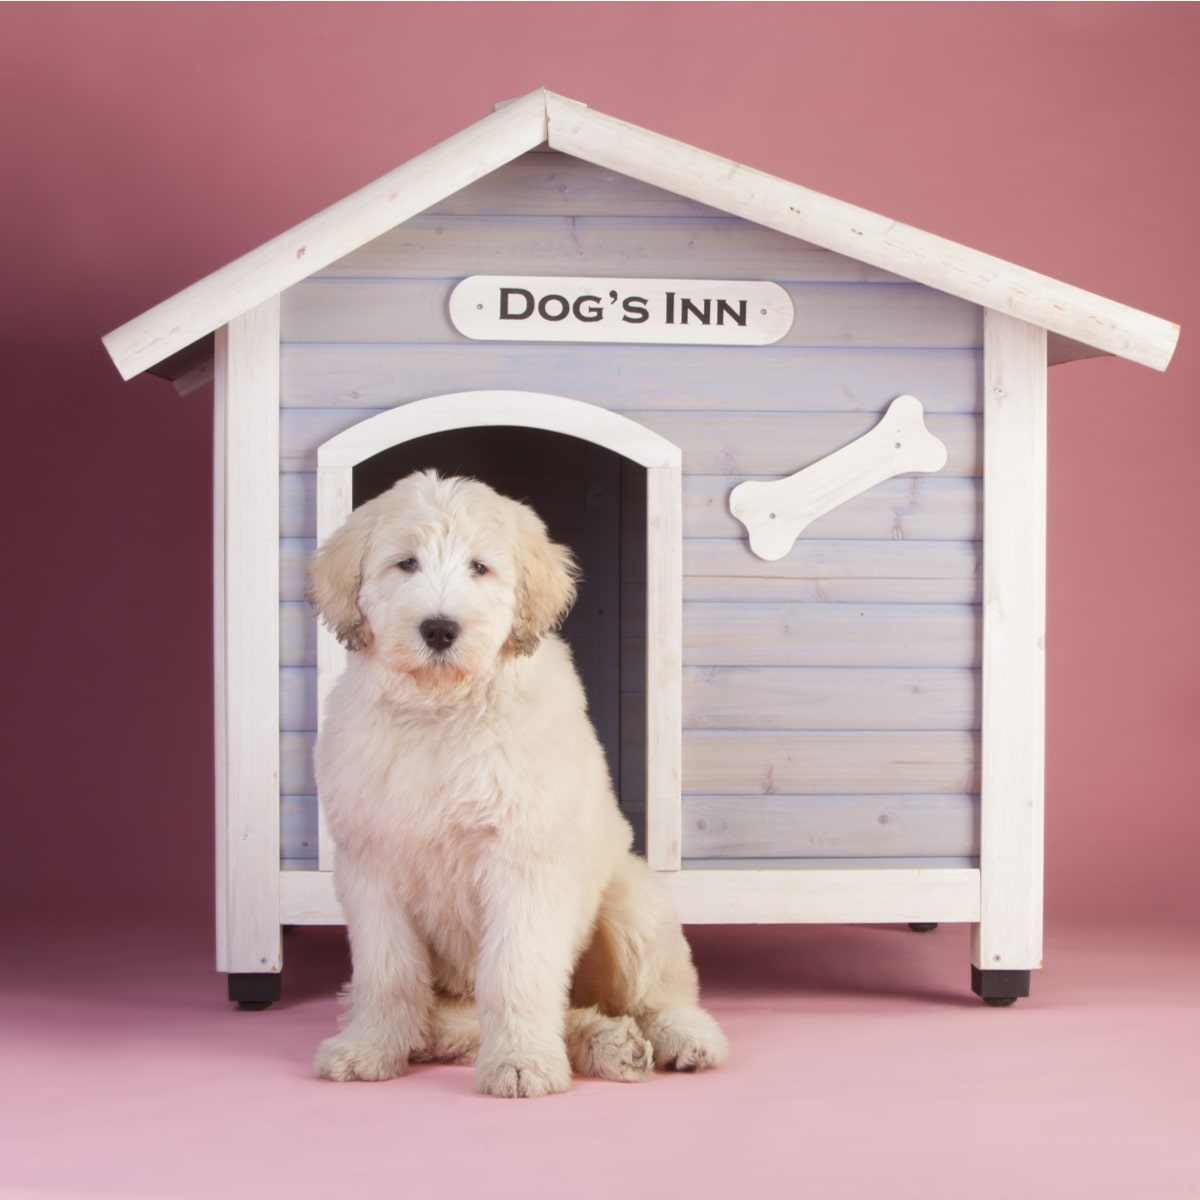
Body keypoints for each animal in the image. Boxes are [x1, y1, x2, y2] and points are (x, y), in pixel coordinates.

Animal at [304, 468, 724, 1099]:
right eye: (406, 563)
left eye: (480, 567)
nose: (439, 629)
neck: (443, 709)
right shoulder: (372, 866)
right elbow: (387, 973)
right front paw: (370, 1049)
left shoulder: (525, 863)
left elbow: (517, 972)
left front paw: (522, 1062)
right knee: (487, 1020)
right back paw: (610, 1043)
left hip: (633, 905)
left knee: (657, 993)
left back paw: (676, 1038)